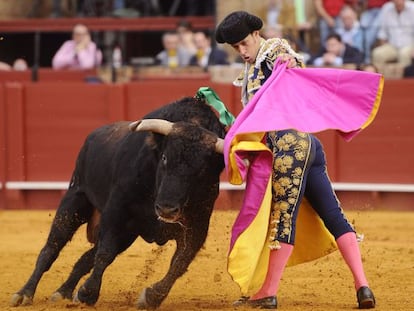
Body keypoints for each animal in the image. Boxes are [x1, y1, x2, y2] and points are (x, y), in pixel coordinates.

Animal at [10, 97, 226, 310]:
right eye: (165, 158)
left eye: (202, 169)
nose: (166, 209)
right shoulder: (116, 212)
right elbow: (105, 253)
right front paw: (87, 293)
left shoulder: (197, 225)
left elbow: (180, 262)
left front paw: (151, 297)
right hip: (75, 200)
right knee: (51, 249)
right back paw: (24, 293)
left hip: (127, 233)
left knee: (86, 257)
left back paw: (63, 292)